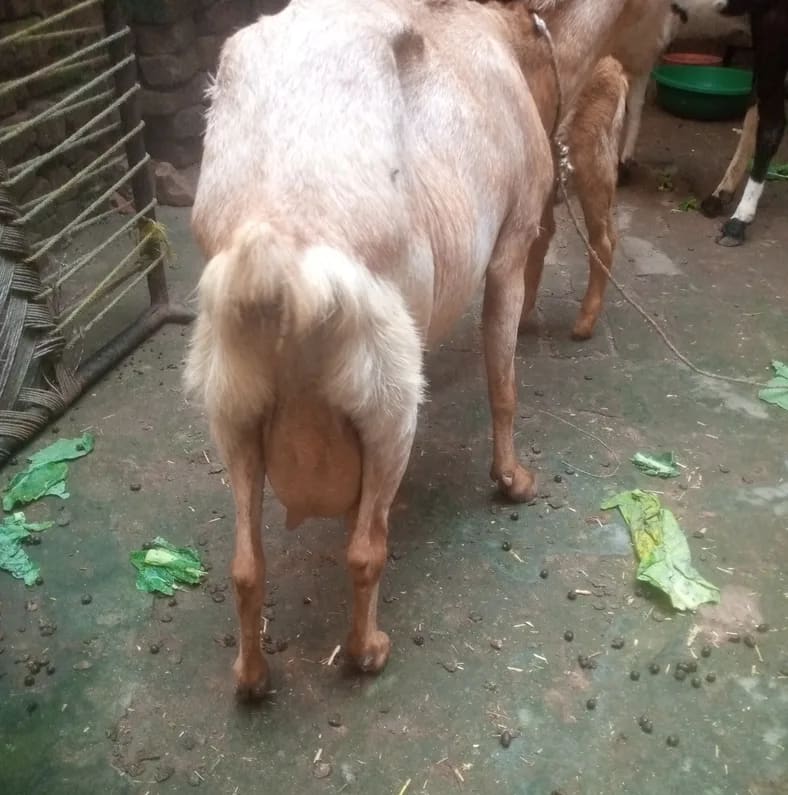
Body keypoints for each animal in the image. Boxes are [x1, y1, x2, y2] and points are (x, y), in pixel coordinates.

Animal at [185, 0, 660, 700]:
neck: (515, 39)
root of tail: (280, 248)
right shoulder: (511, 243)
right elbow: (503, 380)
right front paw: (513, 481)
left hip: (235, 409)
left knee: (247, 564)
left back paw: (251, 678)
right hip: (387, 401)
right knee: (364, 551)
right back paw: (368, 651)